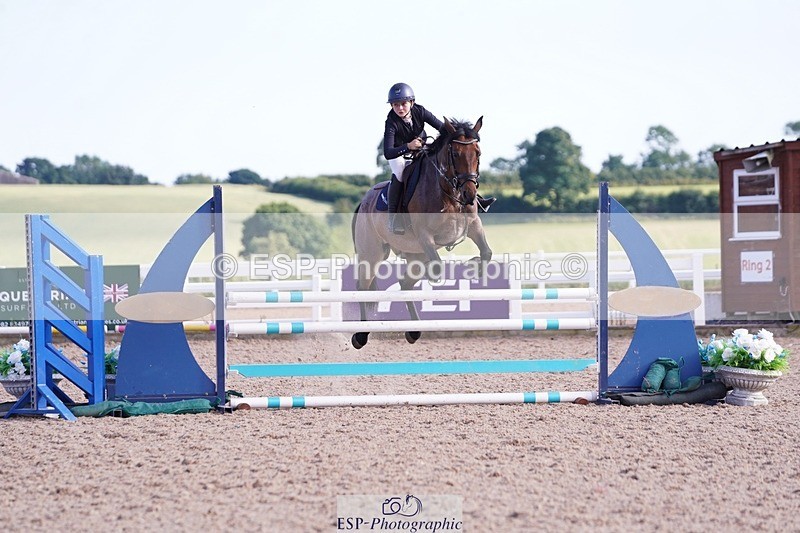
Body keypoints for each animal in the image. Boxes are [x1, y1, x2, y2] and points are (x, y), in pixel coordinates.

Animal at [350, 116, 493, 349]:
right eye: (455, 154)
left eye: (478, 153)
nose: (469, 195)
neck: (448, 193)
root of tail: (363, 201)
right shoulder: (424, 235)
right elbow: (437, 269)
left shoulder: (473, 225)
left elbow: (486, 253)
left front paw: (475, 266)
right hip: (372, 253)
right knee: (363, 287)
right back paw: (360, 335)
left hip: (415, 254)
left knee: (405, 283)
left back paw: (414, 331)